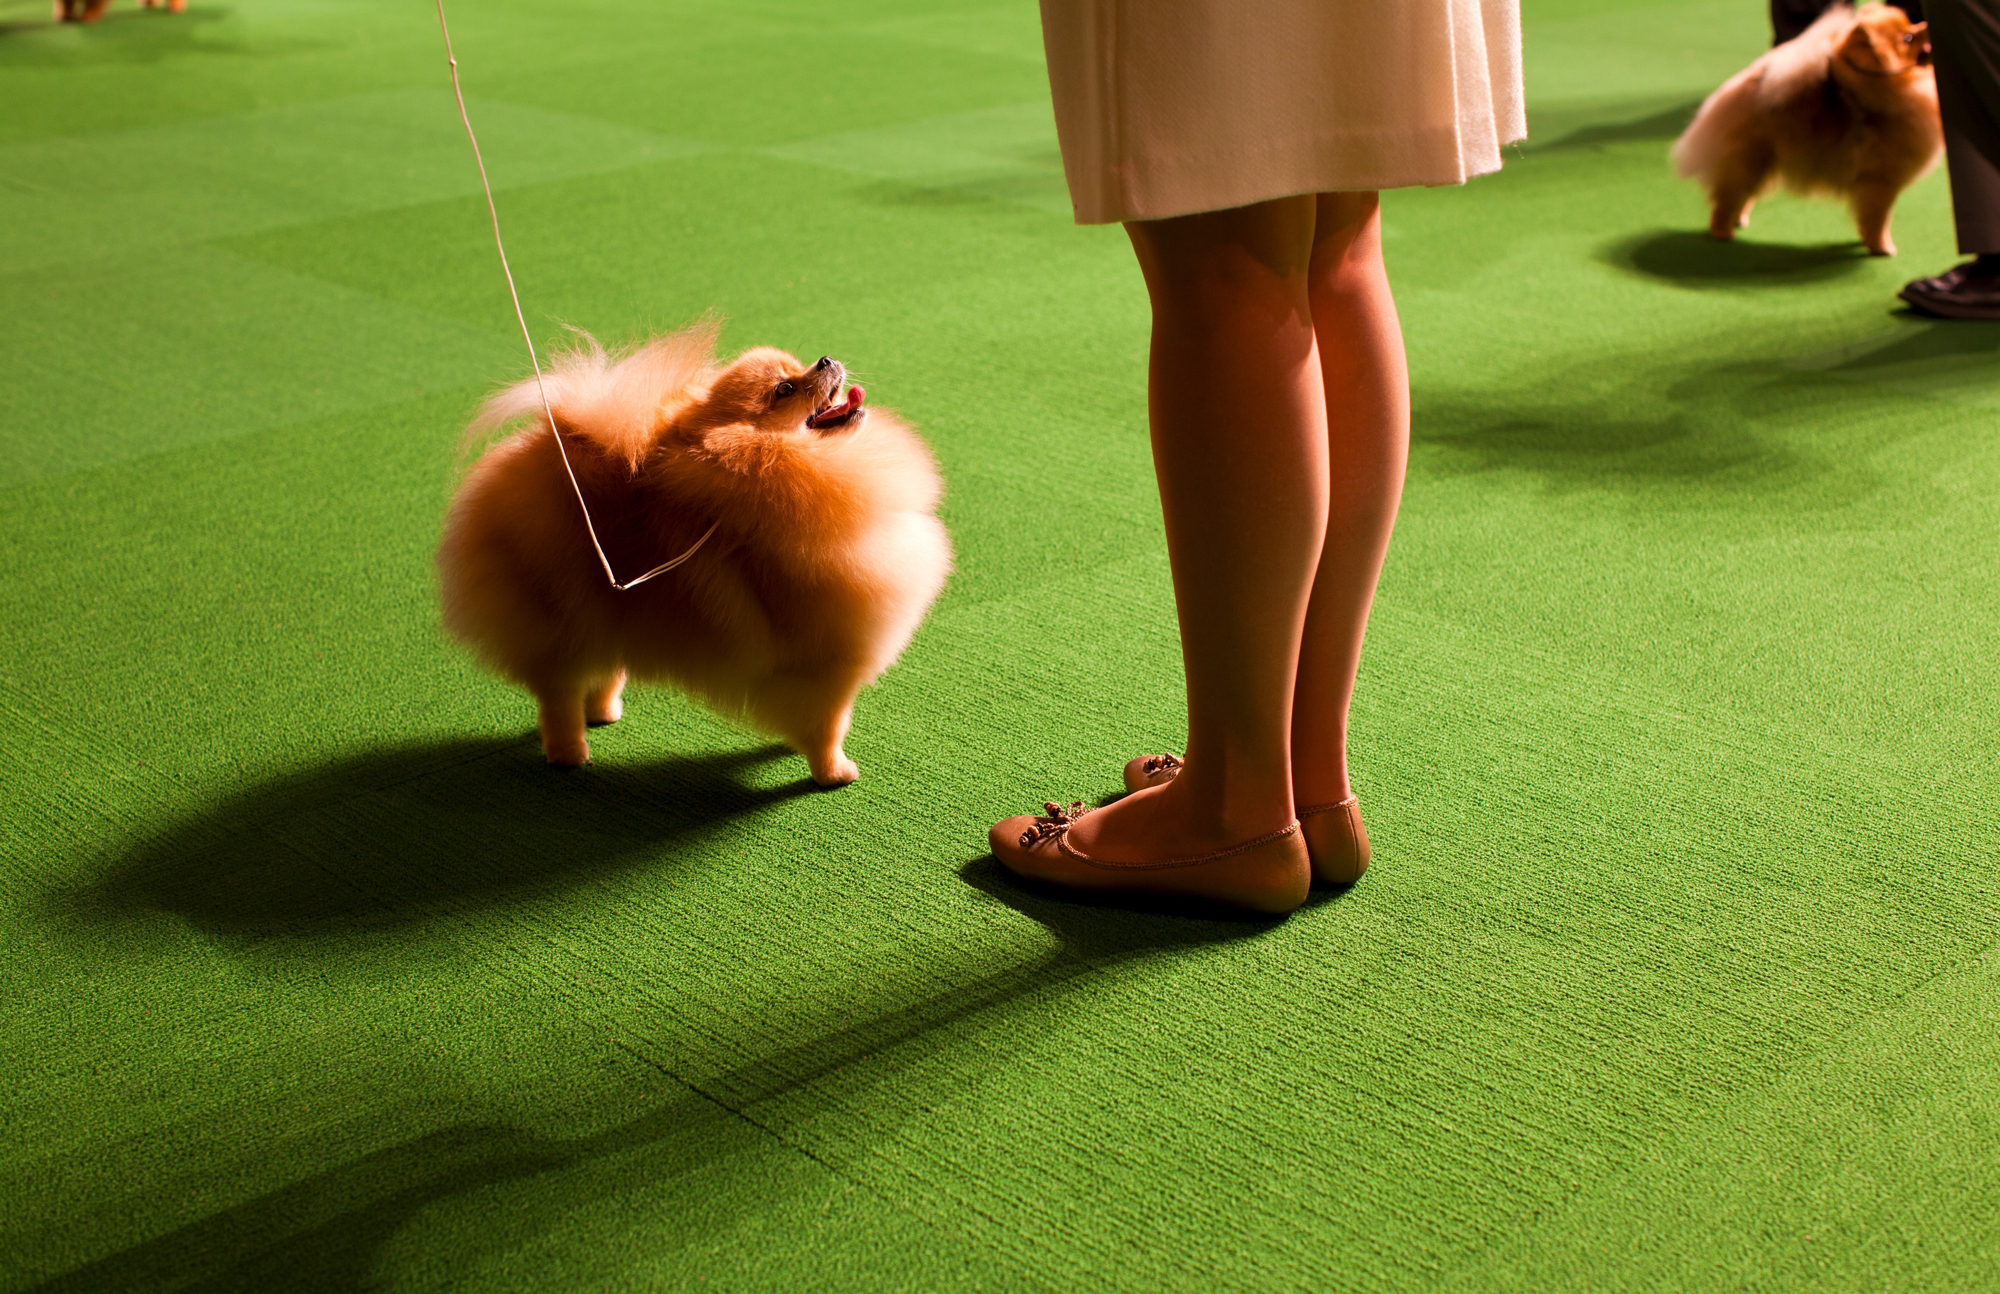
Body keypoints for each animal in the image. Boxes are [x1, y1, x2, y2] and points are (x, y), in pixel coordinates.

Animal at [442, 324, 956, 788]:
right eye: (785, 389)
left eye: (799, 367)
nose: (825, 360)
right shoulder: (824, 665)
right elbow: (828, 725)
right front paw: (832, 772)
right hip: (559, 625)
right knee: (558, 696)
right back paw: (570, 752)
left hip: (602, 609)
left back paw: (604, 711)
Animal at [1672, 3, 1936, 258]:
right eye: (1908, 38)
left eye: (1911, 23)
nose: (1927, 23)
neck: (1887, 88)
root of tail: (1751, 81)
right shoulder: (1880, 182)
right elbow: (1879, 220)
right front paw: (1881, 247)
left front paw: (1869, 242)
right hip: (1749, 161)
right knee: (1727, 199)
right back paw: (1723, 231)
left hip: (1762, 163)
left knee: (1741, 195)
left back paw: (1739, 218)